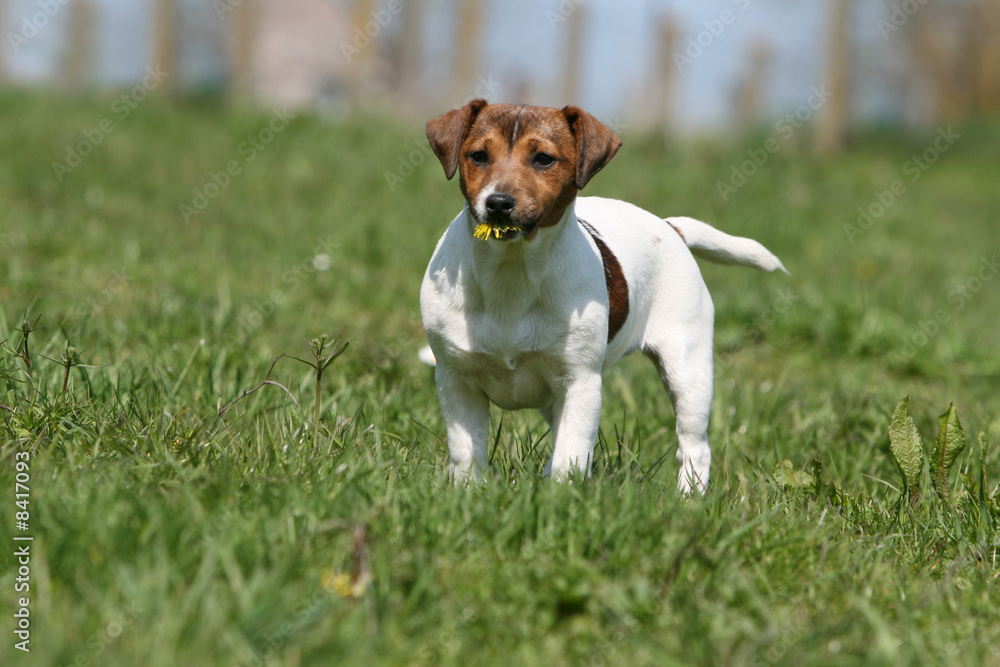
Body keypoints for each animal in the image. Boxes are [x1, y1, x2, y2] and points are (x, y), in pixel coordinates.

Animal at [418, 100, 784, 496]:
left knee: (694, 445)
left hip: (688, 370)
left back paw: (688, 499)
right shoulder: (456, 380)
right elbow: (466, 453)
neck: (512, 272)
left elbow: (571, 454)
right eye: (479, 156)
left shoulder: (581, 382)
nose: (498, 203)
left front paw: (560, 498)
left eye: (543, 159)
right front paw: (466, 494)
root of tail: (670, 226)